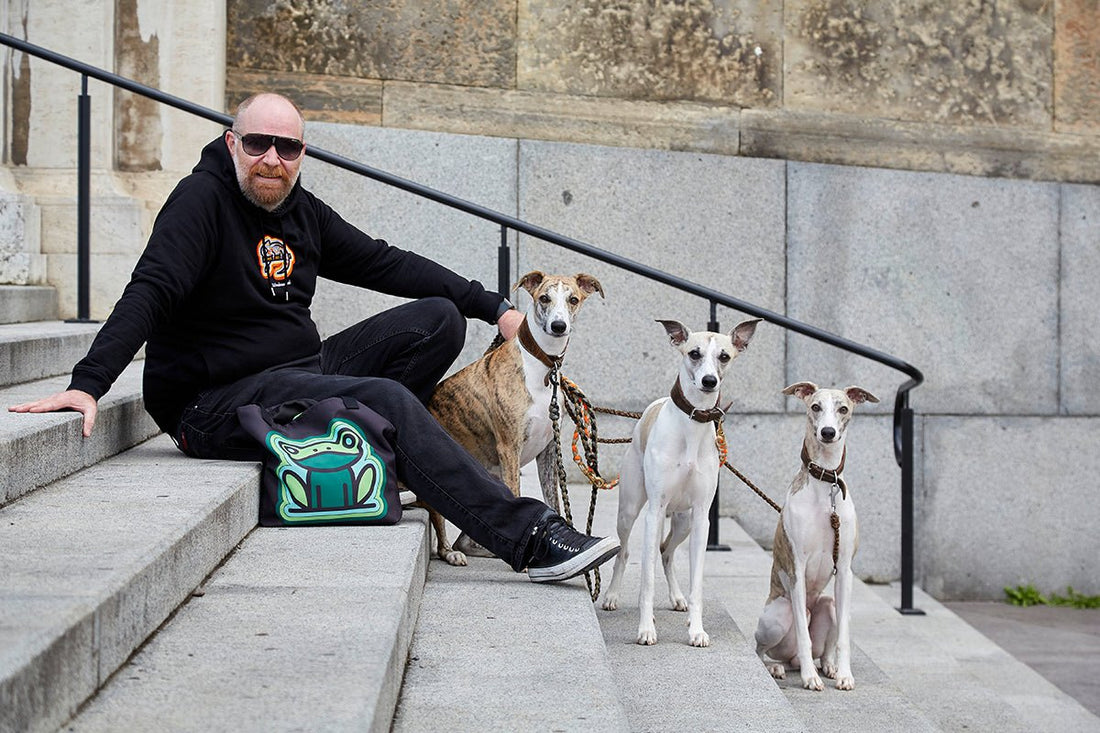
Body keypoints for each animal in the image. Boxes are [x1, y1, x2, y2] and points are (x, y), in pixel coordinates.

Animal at [607, 316, 761, 642]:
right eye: (694, 353)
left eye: (724, 356)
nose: (709, 381)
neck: (693, 422)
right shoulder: (654, 511)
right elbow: (646, 581)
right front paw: (646, 629)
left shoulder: (702, 517)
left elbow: (697, 583)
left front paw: (697, 629)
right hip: (631, 511)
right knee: (625, 552)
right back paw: (612, 596)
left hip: (684, 521)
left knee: (666, 552)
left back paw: (678, 600)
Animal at [756, 378, 875, 686]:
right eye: (815, 407)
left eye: (843, 408)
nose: (828, 432)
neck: (825, 485)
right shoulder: (797, 567)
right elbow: (803, 634)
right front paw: (810, 679)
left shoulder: (844, 570)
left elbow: (844, 636)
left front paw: (844, 675)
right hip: (776, 616)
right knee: (763, 650)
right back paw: (778, 667)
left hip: (828, 605)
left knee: (824, 643)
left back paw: (829, 665)